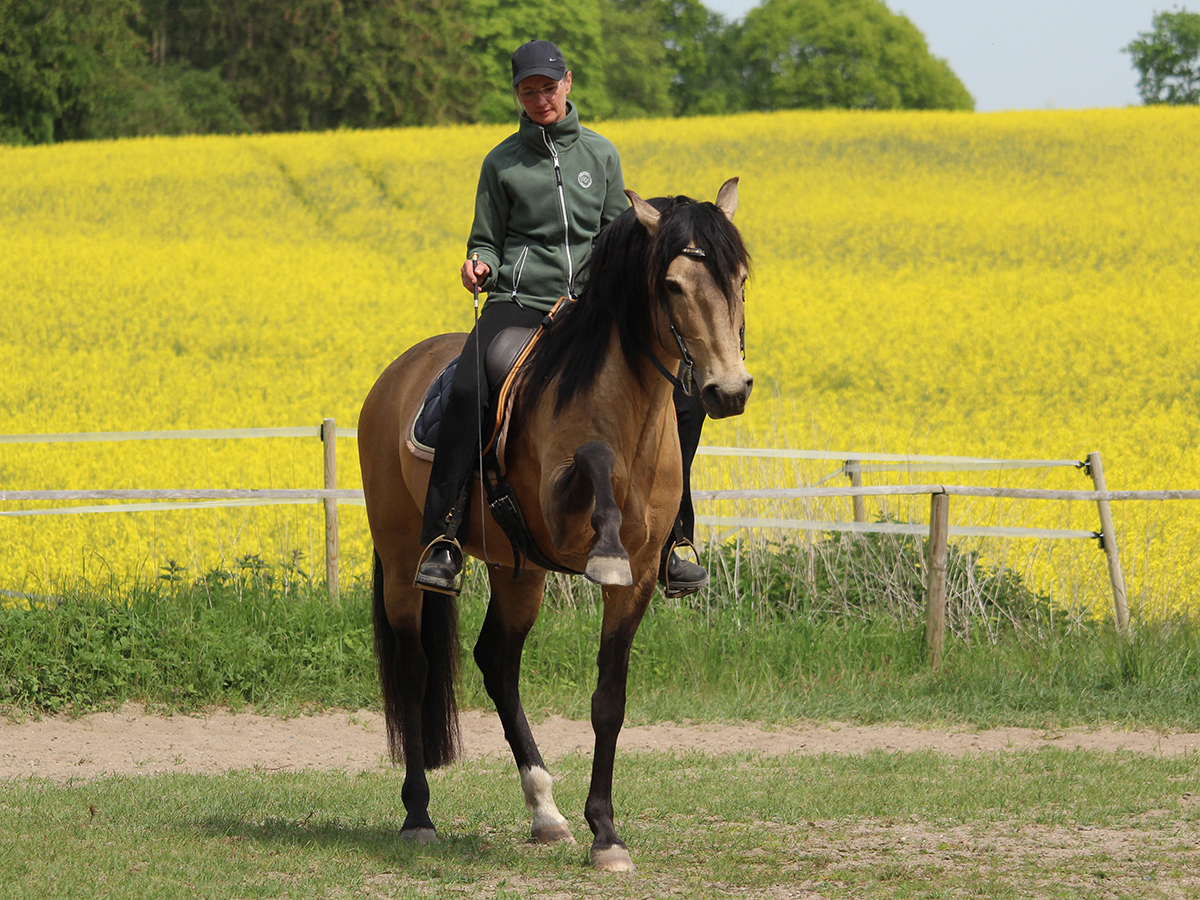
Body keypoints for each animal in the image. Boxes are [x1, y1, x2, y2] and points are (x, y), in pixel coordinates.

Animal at [358, 178, 751, 872]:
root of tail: (394, 375)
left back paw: (545, 811)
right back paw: (418, 816)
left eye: (740, 278)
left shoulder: (637, 583)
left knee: (496, 661)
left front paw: (606, 835)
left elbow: (608, 703)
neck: (630, 414)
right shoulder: (562, 509)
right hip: (405, 562)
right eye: (673, 285)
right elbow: (591, 463)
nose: (728, 390)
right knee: (413, 670)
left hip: (519, 572)